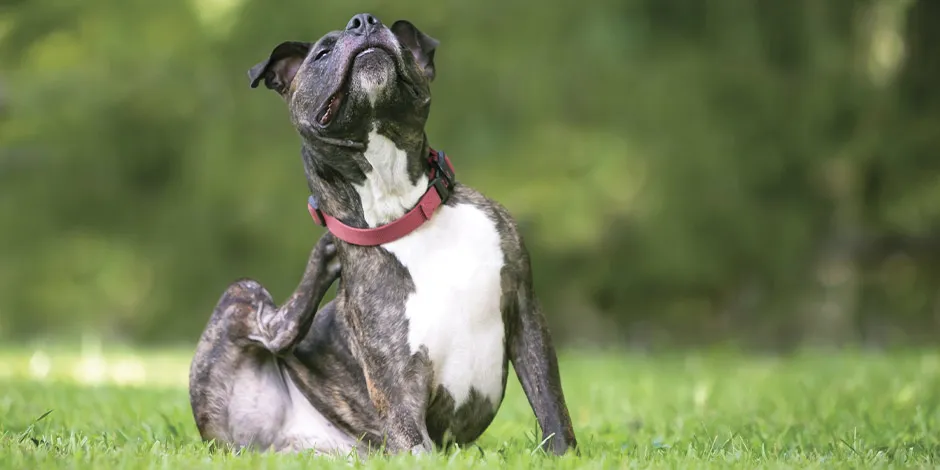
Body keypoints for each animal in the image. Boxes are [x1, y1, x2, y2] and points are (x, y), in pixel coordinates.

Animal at [187, 12, 576, 458]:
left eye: (402, 42)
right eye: (323, 52)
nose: (363, 20)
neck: (403, 212)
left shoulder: (527, 316)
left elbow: (553, 411)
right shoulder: (398, 389)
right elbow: (417, 444)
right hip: (240, 297)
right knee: (275, 329)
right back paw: (325, 258)